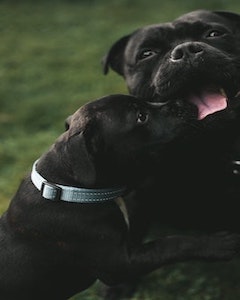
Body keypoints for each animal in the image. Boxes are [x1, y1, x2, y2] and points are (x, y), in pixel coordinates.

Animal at [2, 92, 240, 298]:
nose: (182, 101)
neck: (66, 187)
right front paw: (217, 244)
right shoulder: (119, 264)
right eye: (141, 117)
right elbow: (168, 244)